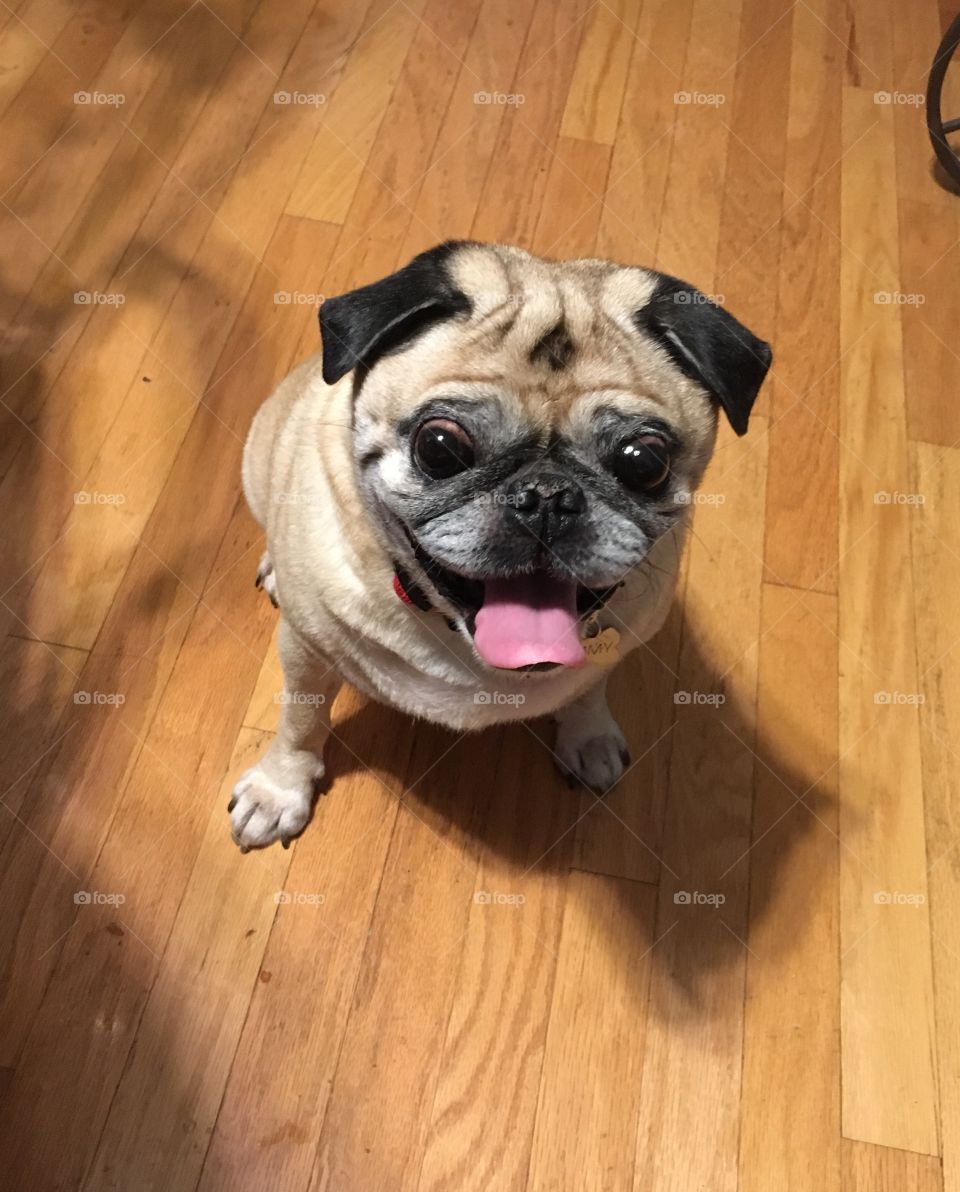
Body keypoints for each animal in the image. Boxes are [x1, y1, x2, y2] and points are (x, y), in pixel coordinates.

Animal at [230, 241, 772, 853]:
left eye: (645, 462)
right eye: (440, 447)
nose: (546, 497)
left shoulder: (614, 650)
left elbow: (588, 690)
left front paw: (588, 737)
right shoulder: (306, 650)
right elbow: (301, 722)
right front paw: (280, 789)